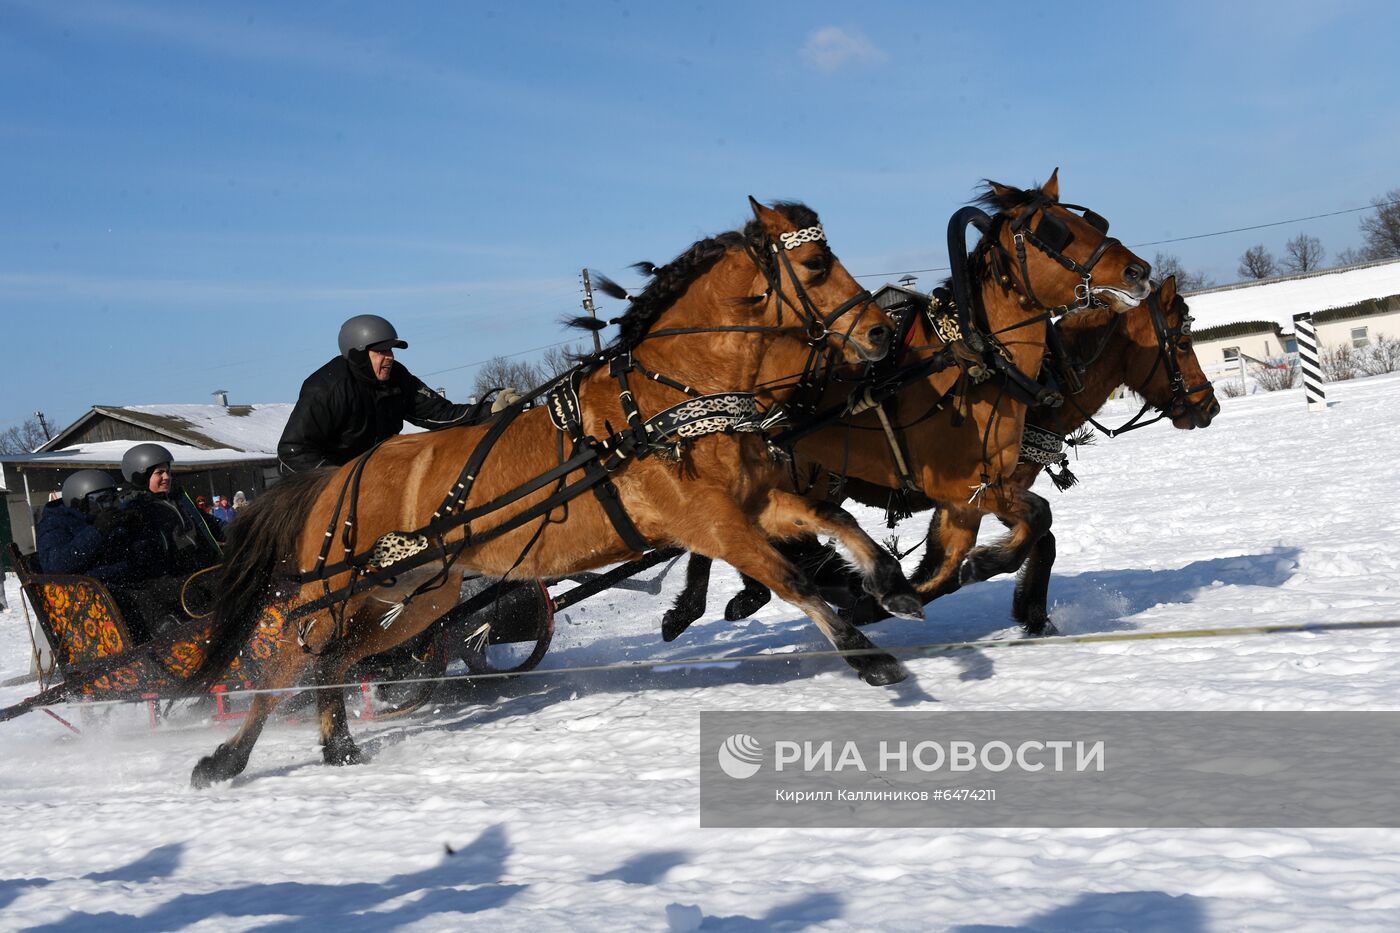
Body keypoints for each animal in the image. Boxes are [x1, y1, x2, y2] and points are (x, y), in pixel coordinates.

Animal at [189, 197, 907, 784]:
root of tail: (335, 478)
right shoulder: (709, 521)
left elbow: (832, 517)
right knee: (289, 660)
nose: (882, 331)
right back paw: (226, 759)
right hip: (333, 589)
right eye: (815, 263)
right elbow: (792, 577)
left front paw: (890, 582)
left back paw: (336, 745)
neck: (665, 397)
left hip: (417, 597)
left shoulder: (754, 503)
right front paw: (867, 655)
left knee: (336, 661)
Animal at [660, 170, 1153, 636]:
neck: (972, 358)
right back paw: (698, 607)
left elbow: (955, 561)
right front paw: (978, 569)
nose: (1139, 271)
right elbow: (1034, 519)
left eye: (1090, 221)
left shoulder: (972, 495)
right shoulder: (962, 487)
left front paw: (896, 594)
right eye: (1054, 230)